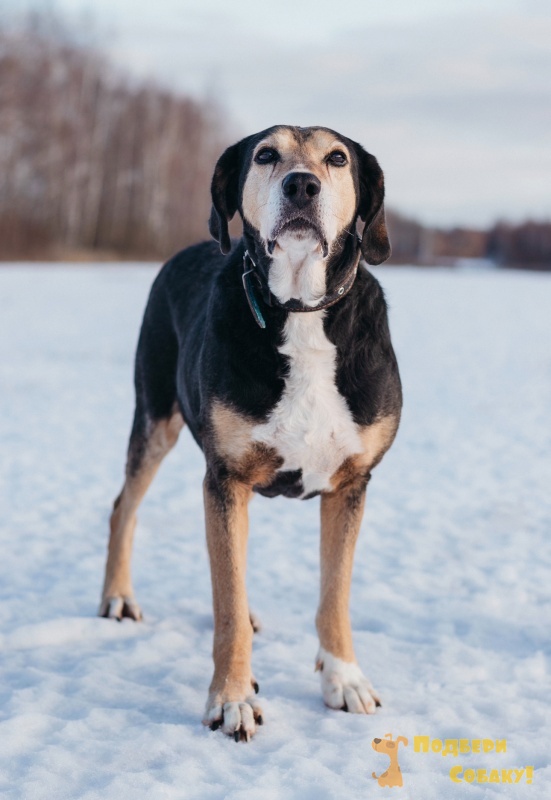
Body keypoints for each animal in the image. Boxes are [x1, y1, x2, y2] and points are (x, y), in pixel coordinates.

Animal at [99, 125, 402, 741]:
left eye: (338, 158)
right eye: (265, 155)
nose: (302, 184)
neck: (301, 311)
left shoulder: (351, 483)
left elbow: (334, 594)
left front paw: (344, 679)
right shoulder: (226, 477)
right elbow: (228, 607)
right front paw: (232, 699)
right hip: (155, 417)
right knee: (125, 506)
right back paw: (117, 598)